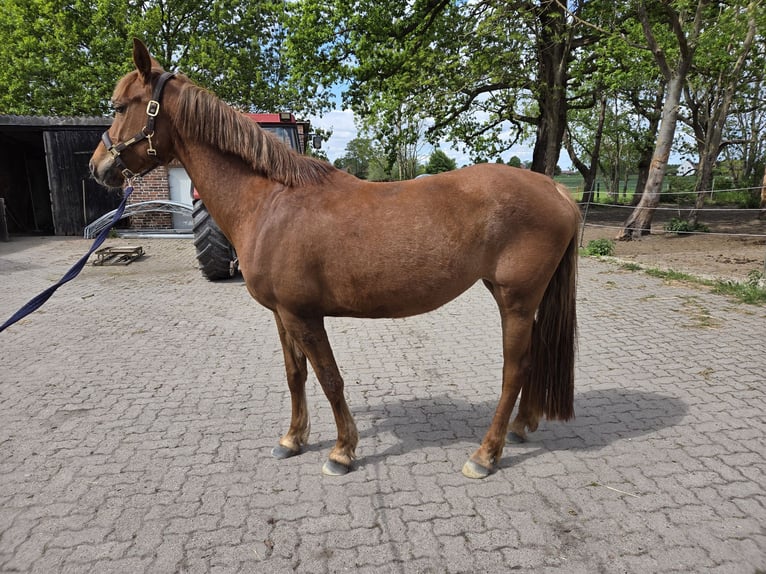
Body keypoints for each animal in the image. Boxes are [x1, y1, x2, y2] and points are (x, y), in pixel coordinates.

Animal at [90, 39, 581, 479]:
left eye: (119, 107)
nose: (97, 167)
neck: (269, 202)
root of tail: (554, 189)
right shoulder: (282, 314)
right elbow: (295, 375)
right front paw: (293, 439)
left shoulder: (304, 315)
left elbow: (329, 378)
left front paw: (342, 451)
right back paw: (521, 427)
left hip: (515, 299)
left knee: (515, 369)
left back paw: (485, 455)